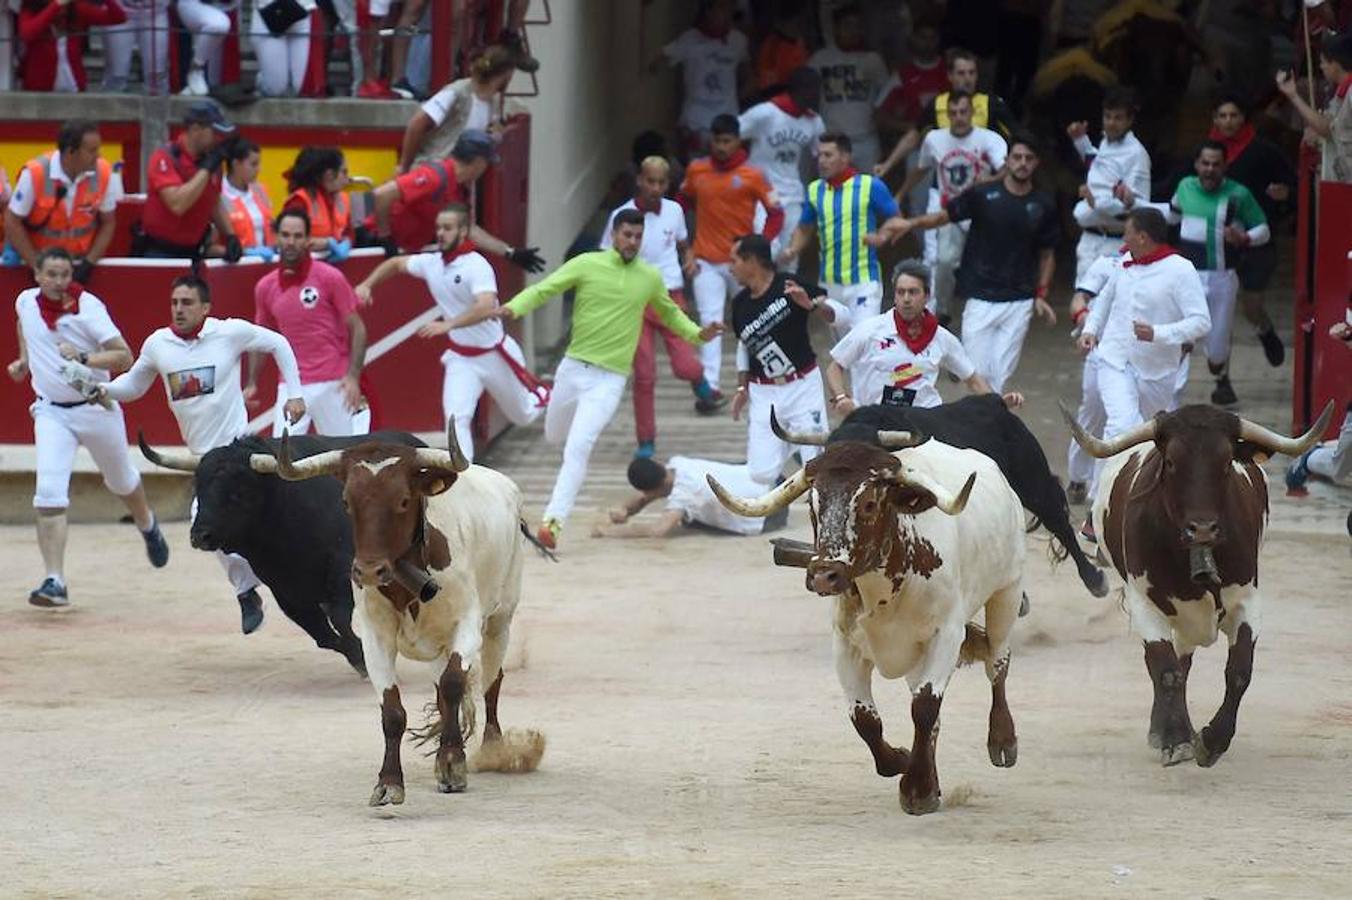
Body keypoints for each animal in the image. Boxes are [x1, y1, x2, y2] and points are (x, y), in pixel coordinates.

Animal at [141, 427, 421, 672]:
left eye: (238, 491)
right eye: (198, 488)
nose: (200, 536)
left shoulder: (343, 567)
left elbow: (339, 617)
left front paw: (361, 658)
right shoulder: (285, 590)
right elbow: (321, 634)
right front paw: (356, 655)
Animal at [255, 421, 540, 805]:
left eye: (403, 500)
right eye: (347, 502)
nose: (368, 572)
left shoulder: (467, 624)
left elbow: (455, 683)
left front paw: (452, 762)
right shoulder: (376, 638)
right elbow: (393, 710)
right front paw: (390, 781)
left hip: (500, 619)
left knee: (491, 682)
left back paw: (494, 749)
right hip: (440, 644)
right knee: (444, 687)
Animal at [708, 416, 1022, 810]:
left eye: (870, 503)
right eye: (813, 504)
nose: (823, 575)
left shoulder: (947, 636)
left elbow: (924, 707)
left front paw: (917, 788)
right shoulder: (846, 645)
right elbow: (865, 718)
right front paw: (904, 763)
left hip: (1007, 592)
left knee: (998, 662)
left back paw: (1002, 740)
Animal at [1065, 402, 1330, 767]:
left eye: (1226, 462)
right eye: (1172, 462)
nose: (1202, 529)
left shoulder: (1247, 601)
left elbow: (1239, 672)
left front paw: (1212, 740)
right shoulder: (1145, 605)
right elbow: (1166, 672)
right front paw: (1174, 738)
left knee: (1185, 660)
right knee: (1169, 667)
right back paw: (1164, 729)